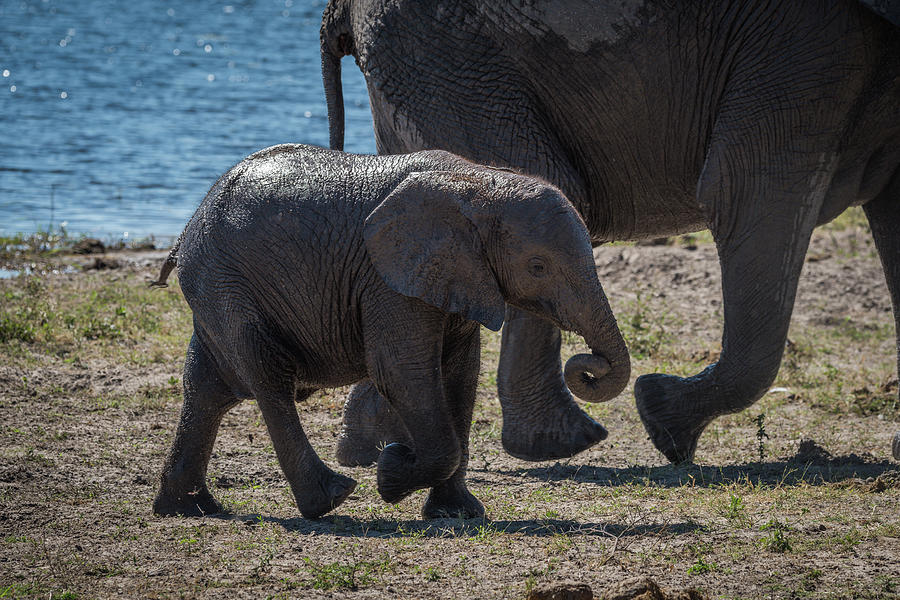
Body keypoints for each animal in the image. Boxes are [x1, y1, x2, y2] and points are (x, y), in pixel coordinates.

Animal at [151, 145, 628, 520]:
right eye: (538, 267)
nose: (589, 364)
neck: (480, 182)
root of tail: (186, 229)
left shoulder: (456, 277)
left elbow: (460, 376)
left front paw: (457, 512)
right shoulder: (388, 281)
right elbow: (403, 373)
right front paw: (391, 471)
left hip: (216, 289)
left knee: (207, 387)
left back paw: (189, 509)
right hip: (226, 284)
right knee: (267, 380)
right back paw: (331, 499)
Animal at [320, 0, 896, 464]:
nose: (589, 367)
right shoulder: (801, 48)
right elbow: (746, 189)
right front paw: (664, 423)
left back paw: (369, 449)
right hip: (446, 54)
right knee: (546, 176)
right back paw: (561, 445)